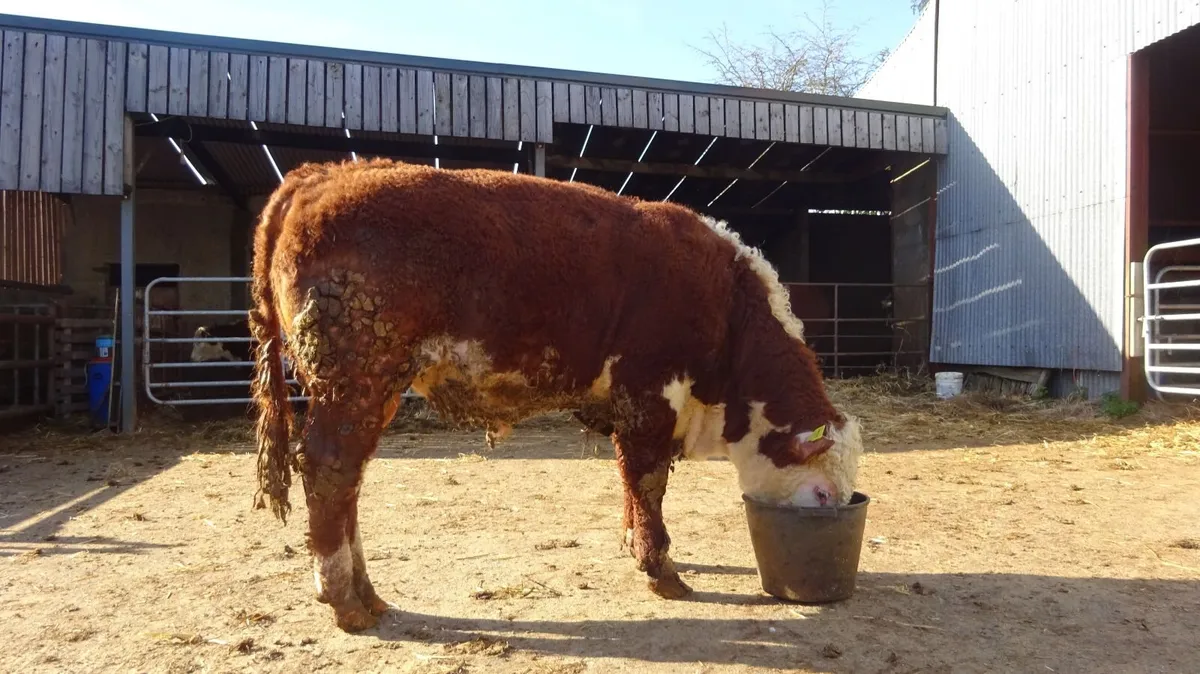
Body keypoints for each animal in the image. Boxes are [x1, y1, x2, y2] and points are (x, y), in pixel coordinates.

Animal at [249, 158, 865, 632]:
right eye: (822, 495)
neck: (728, 299)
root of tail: (326, 173)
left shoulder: (627, 405)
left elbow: (629, 478)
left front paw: (632, 543)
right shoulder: (650, 390)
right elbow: (647, 479)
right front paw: (660, 568)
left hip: (371, 390)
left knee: (349, 479)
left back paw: (368, 594)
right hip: (355, 378)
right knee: (329, 471)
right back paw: (345, 600)